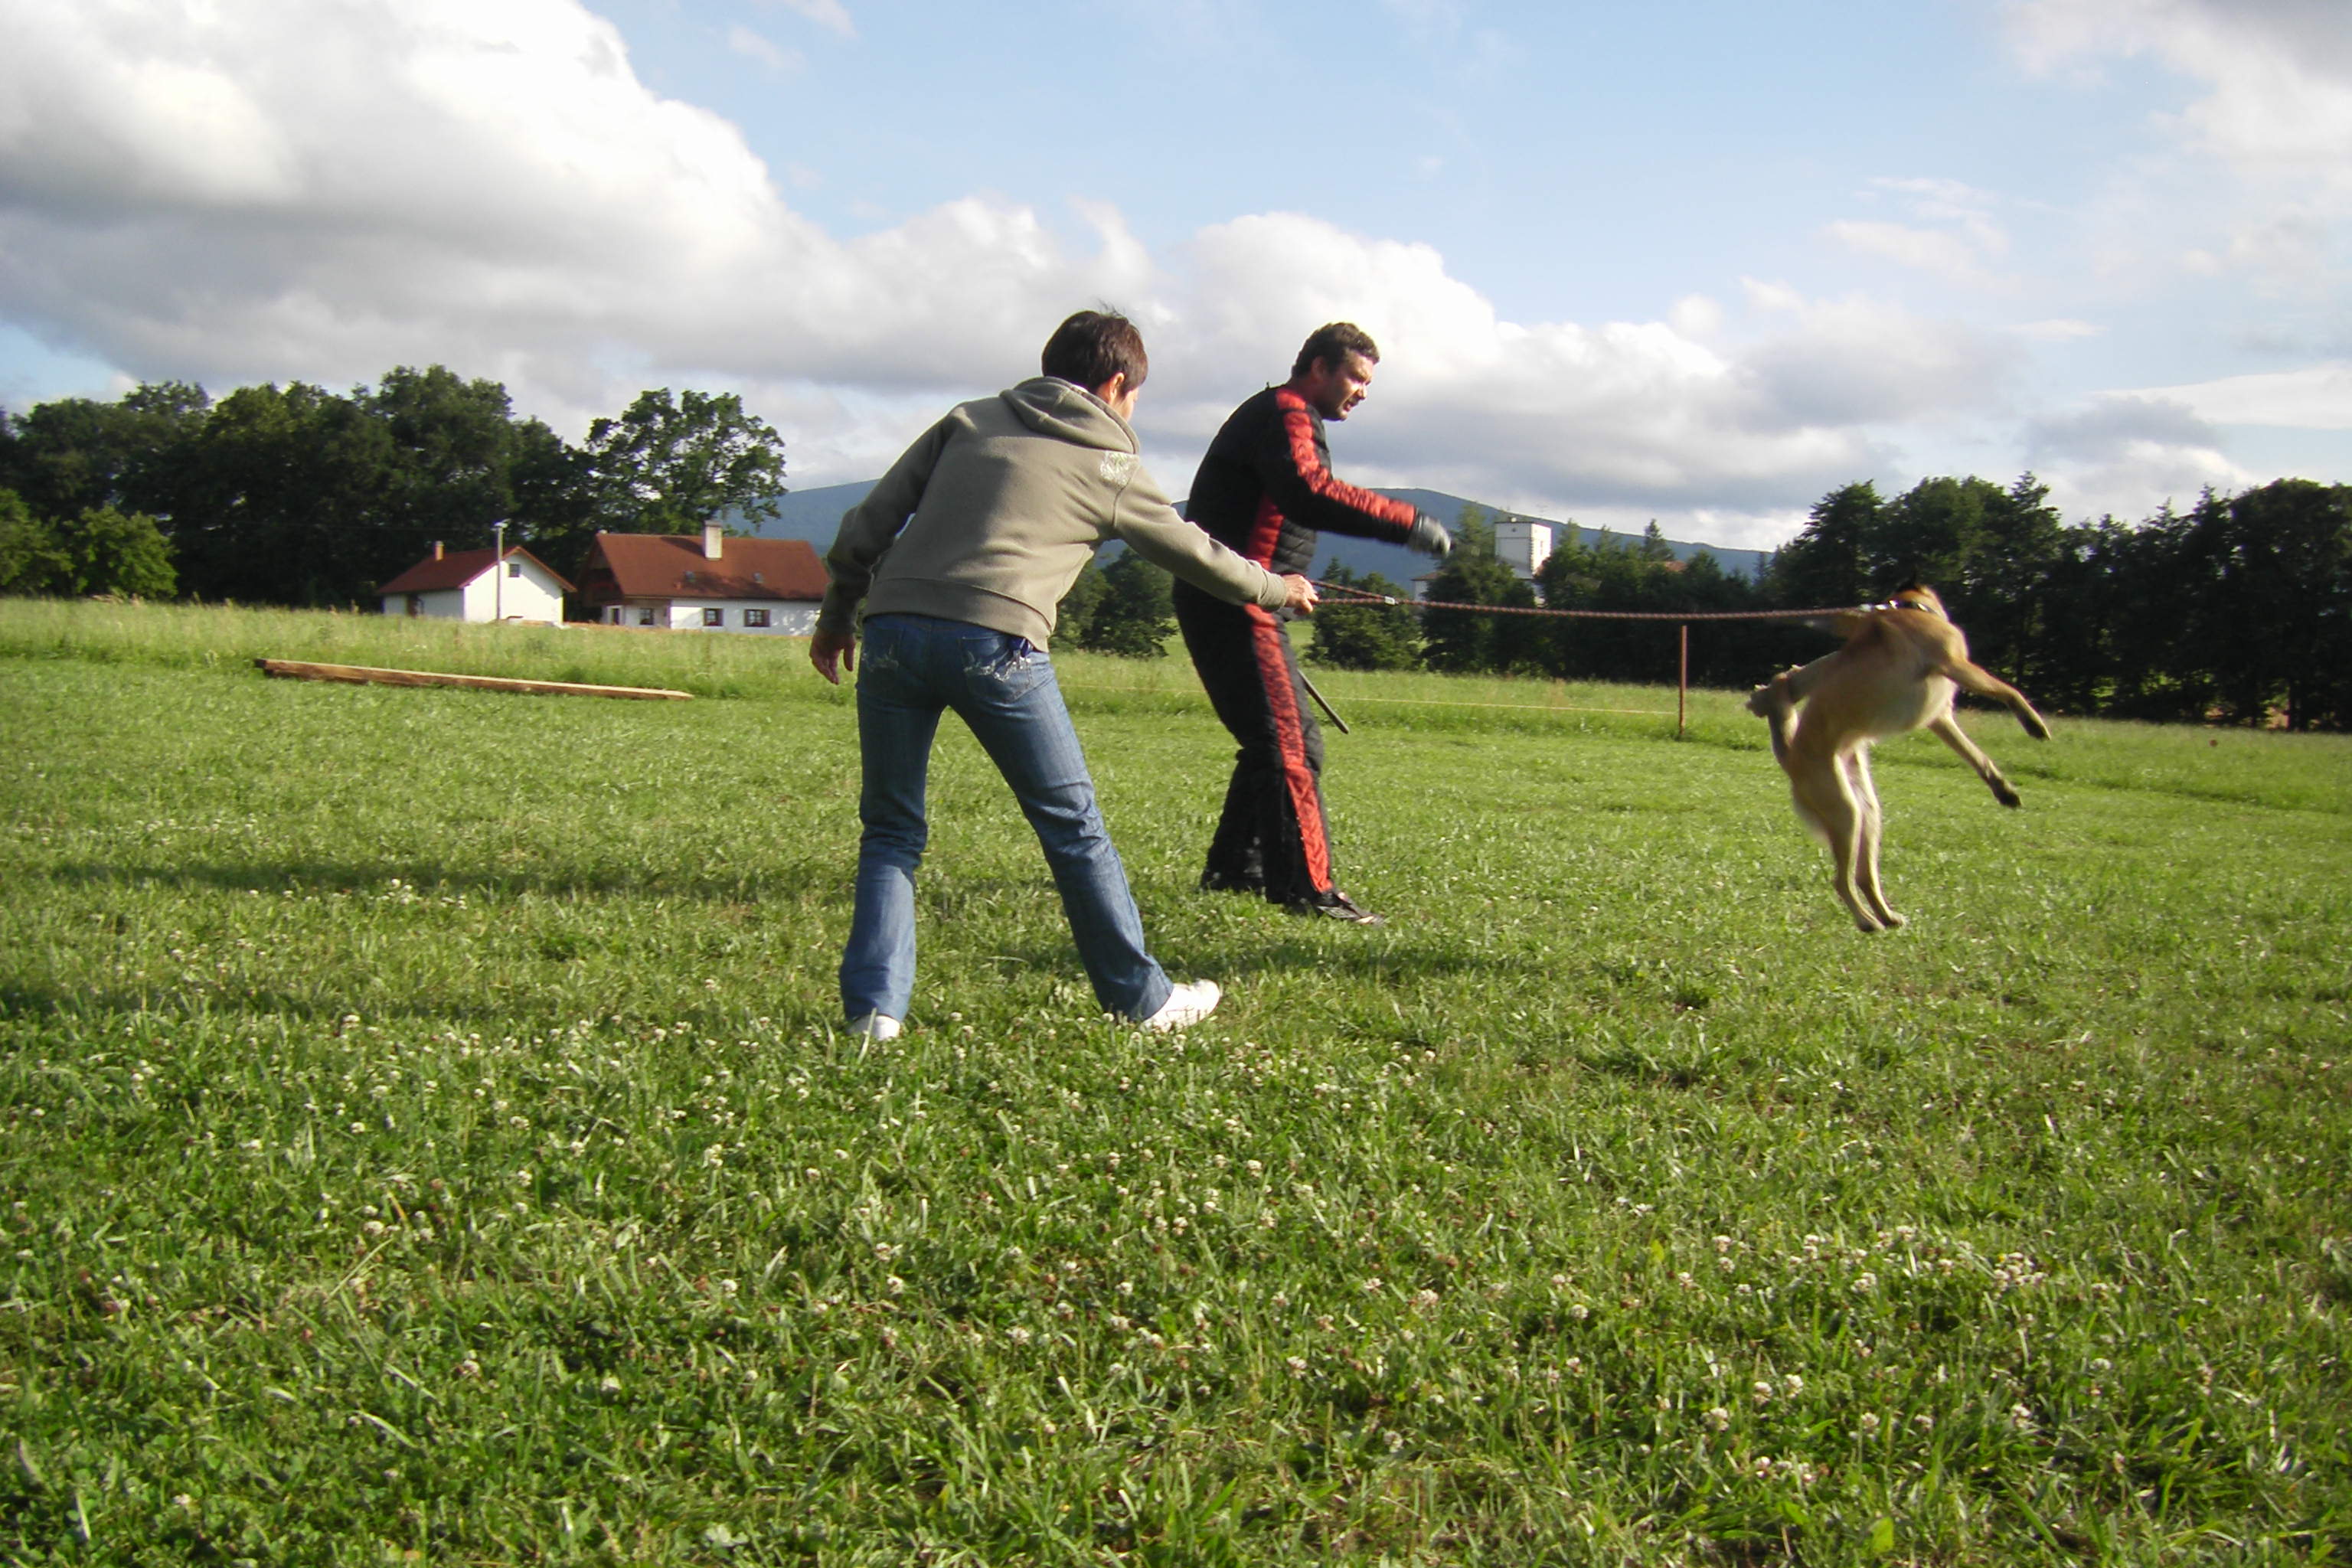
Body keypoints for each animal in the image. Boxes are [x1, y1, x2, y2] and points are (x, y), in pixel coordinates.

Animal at [1740, 585, 2050, 930]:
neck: (1909, 607)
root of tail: (1791, 757)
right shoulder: (1954, 664)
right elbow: (2010, 690)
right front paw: (2034, 724)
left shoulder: (1940, 718)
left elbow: (1975, 754)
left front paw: (2003, 789)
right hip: (1845, 811)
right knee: (1841, 881)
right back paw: (1867, 921)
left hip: (1867, 811)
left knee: (1863, 876)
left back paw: (1887, 916)